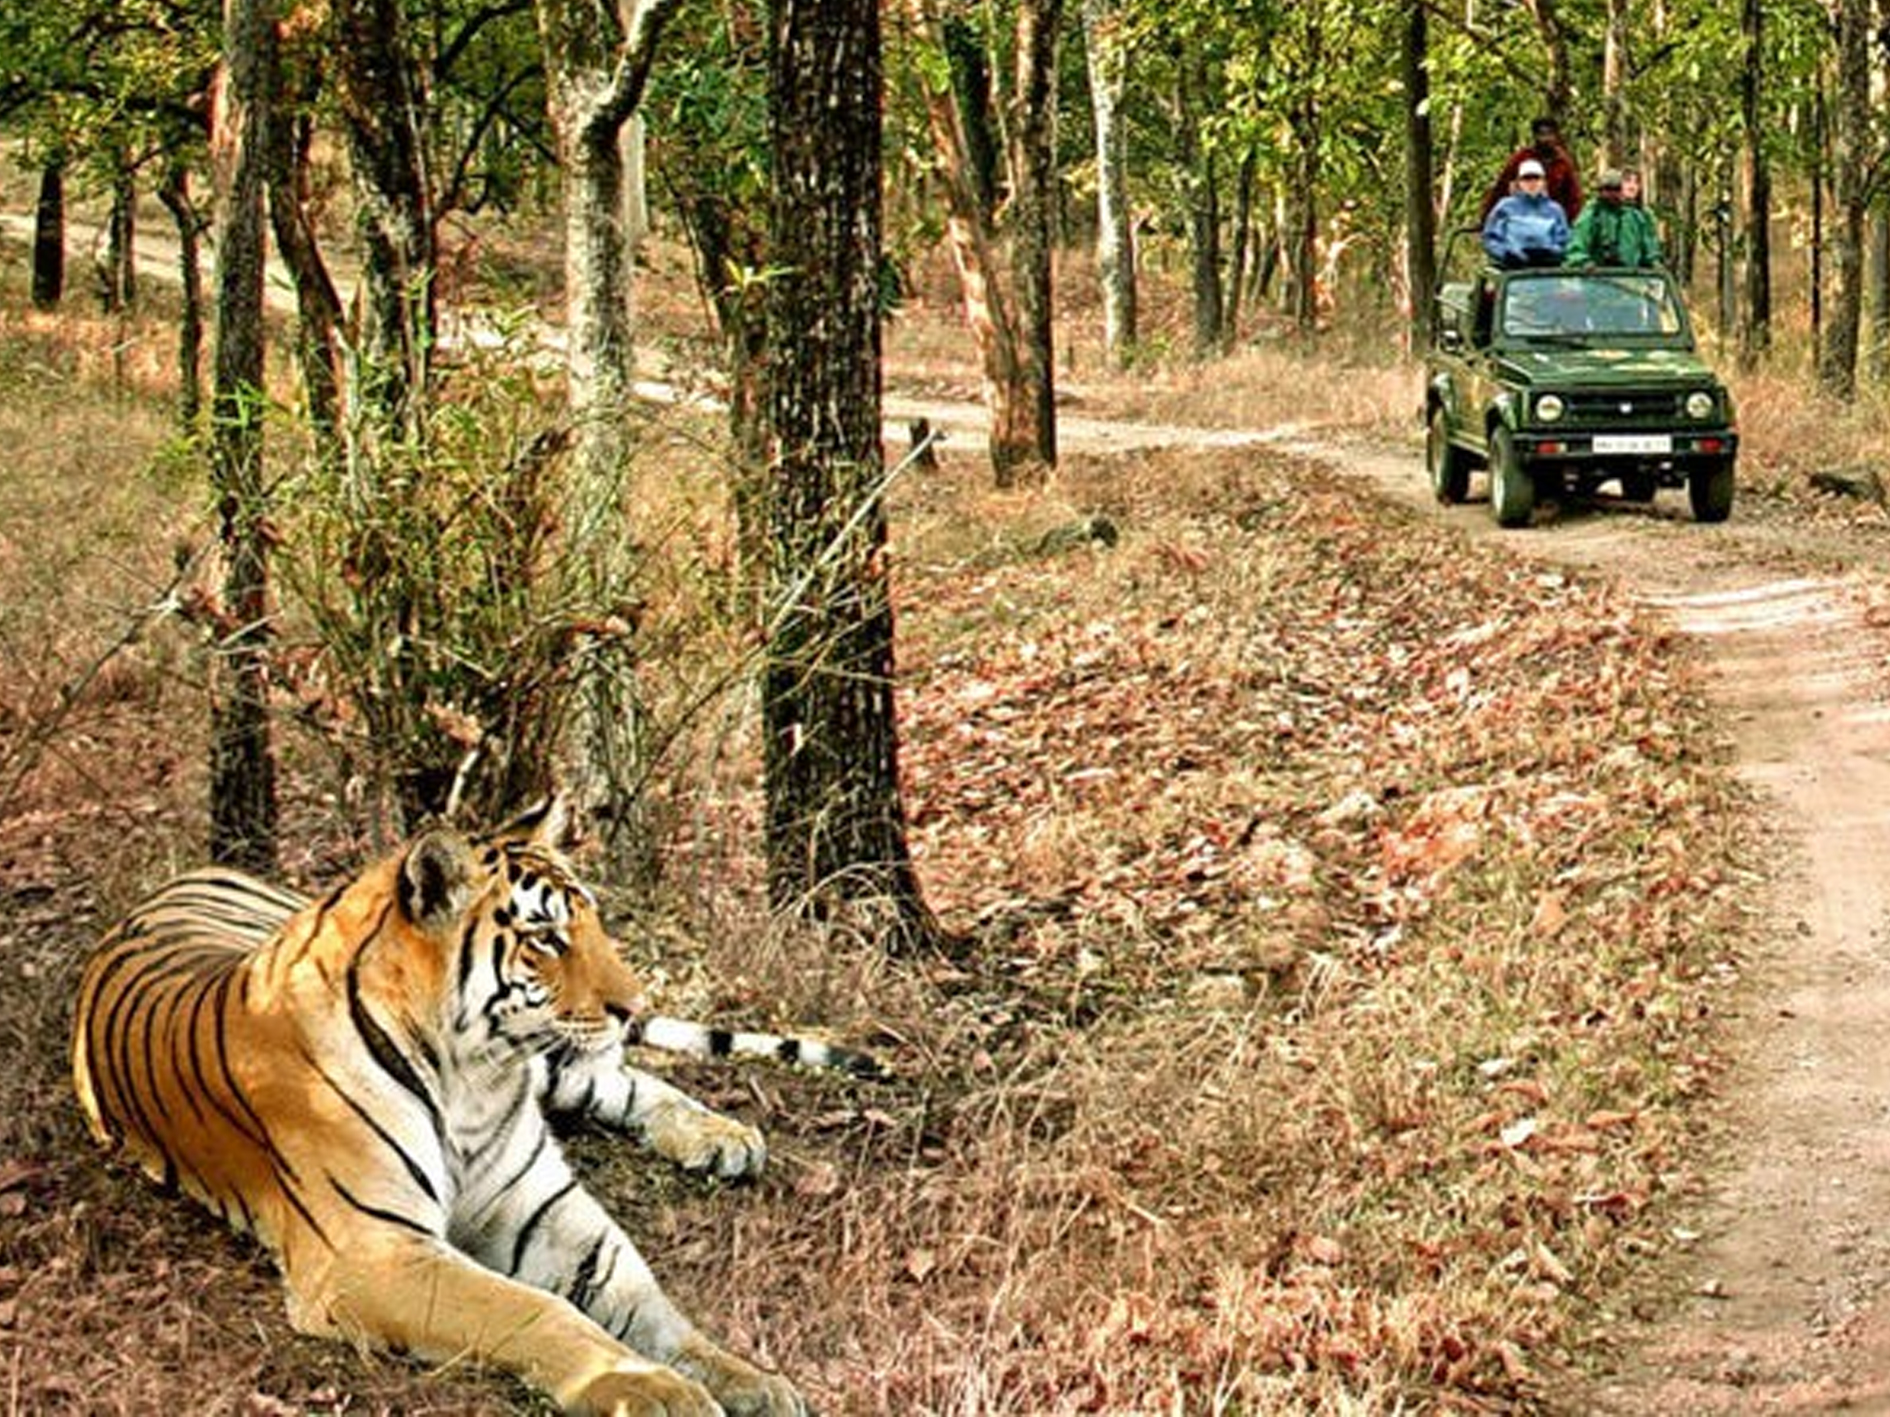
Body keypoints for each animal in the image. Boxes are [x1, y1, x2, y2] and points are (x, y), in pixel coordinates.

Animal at [71, 801, 865, 1417]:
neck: (474, 1079)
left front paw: (750, 1380)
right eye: (546, 937)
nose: (633, 1004)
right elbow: (535, 1309)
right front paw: (650, 1389)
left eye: (594, 922)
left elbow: (656, 1309)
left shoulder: (545, 1212)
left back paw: (722, 1136)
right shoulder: (373, 1251)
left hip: (562, 1070)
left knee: (621, 1077)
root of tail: (189, 873)